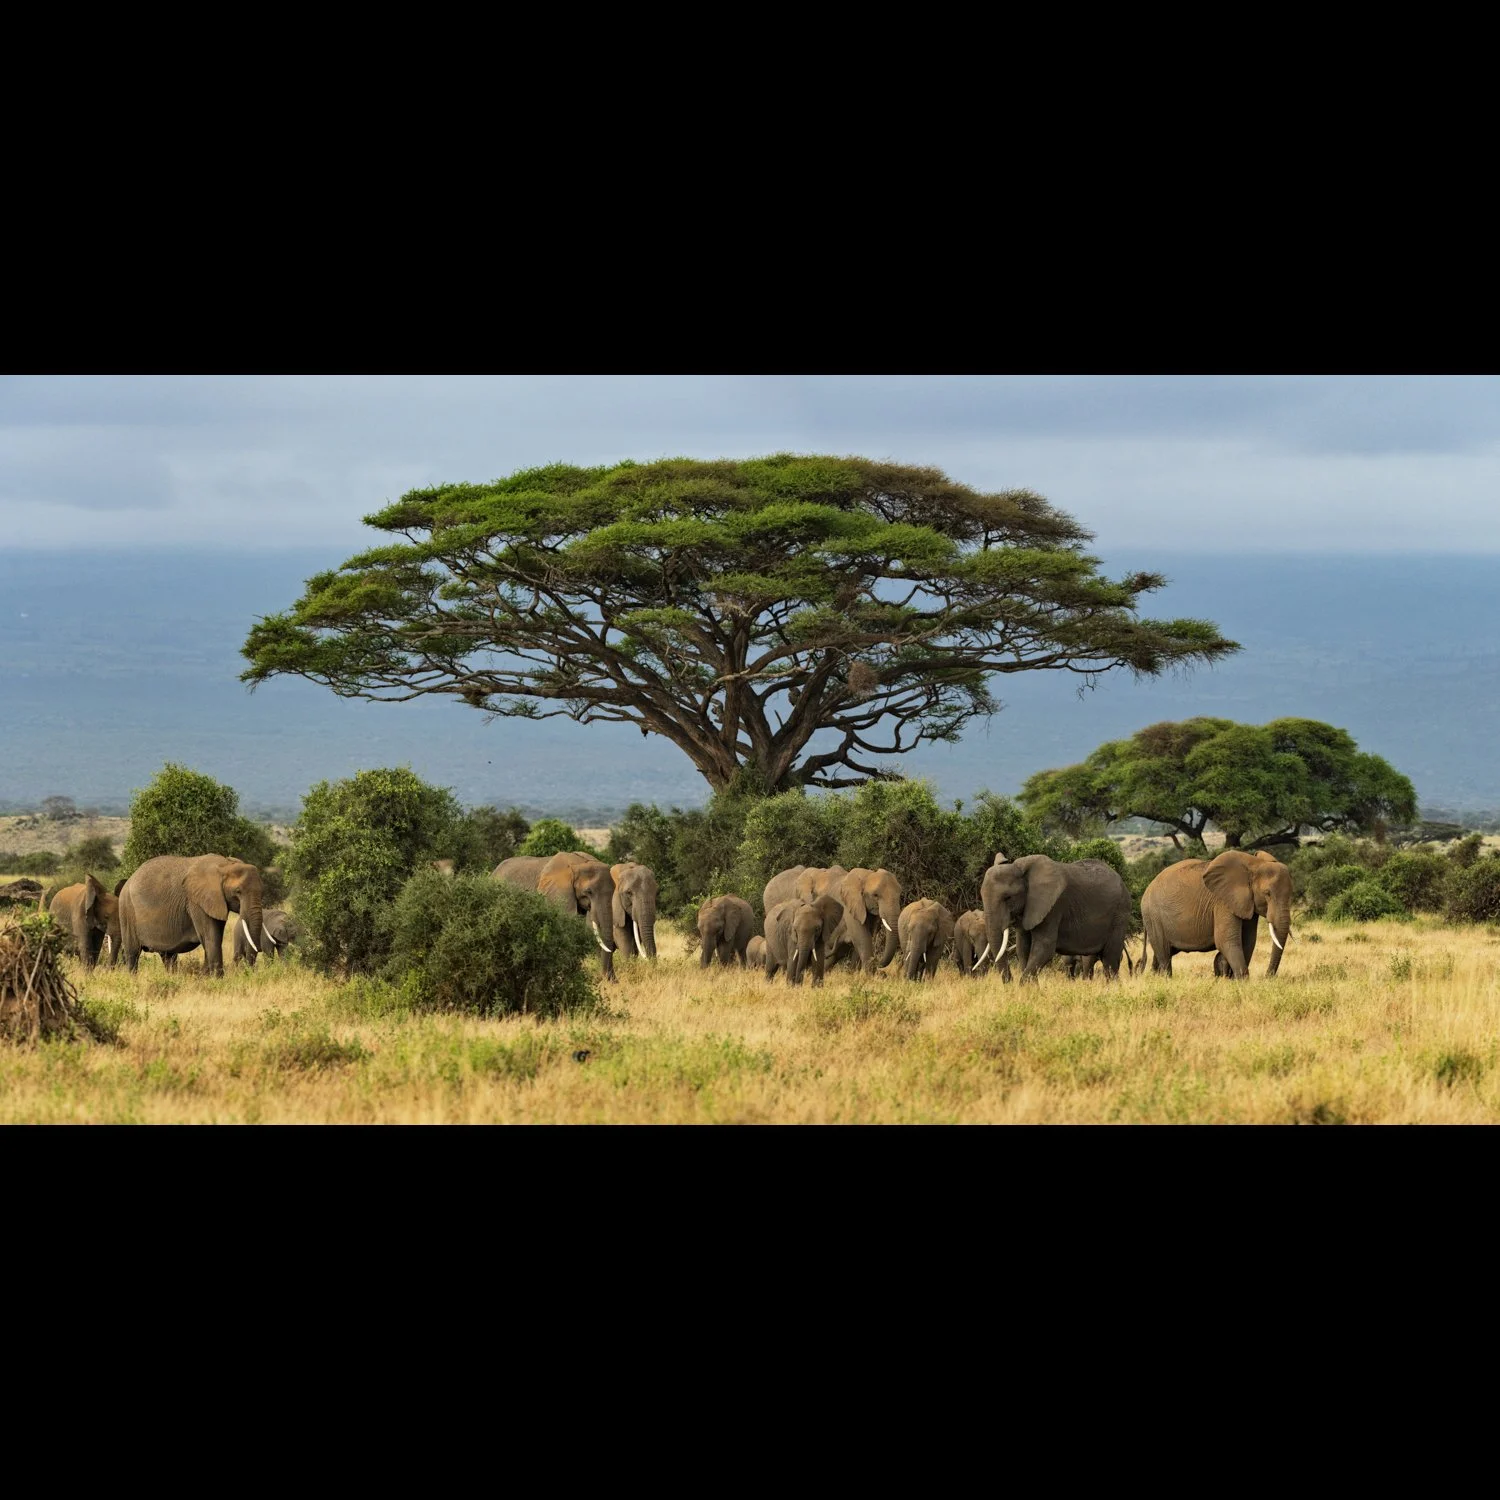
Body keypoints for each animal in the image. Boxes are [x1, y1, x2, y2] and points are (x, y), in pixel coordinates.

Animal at [118, 854, 267, 977]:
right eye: (238, 891)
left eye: (262, 892)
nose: (247, 972)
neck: (225, 865)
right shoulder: (197, 902)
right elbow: (211, 938)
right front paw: (217, 980)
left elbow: (215, 938)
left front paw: (205, 977)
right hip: (127, 910)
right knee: (133, 953)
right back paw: (133, 980)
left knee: (168, 956)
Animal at [981, 852, 1131, 982]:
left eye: (1008, 898)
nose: (1009, 981)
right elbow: (1022, 948)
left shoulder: (1053, 907)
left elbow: (1045, 948)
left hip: (1119, 915)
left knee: (1110, 960)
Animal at [1139, 849, 1292, 979]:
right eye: (1267, 894)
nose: (1267, 977)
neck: (1254, 864)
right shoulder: (1222, 902)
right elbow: (1226, 940)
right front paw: (1242, 982)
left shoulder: (1247, 903)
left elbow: (1248, 941)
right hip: (1153, 916)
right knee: (1164, 954)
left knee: (1161, 955)